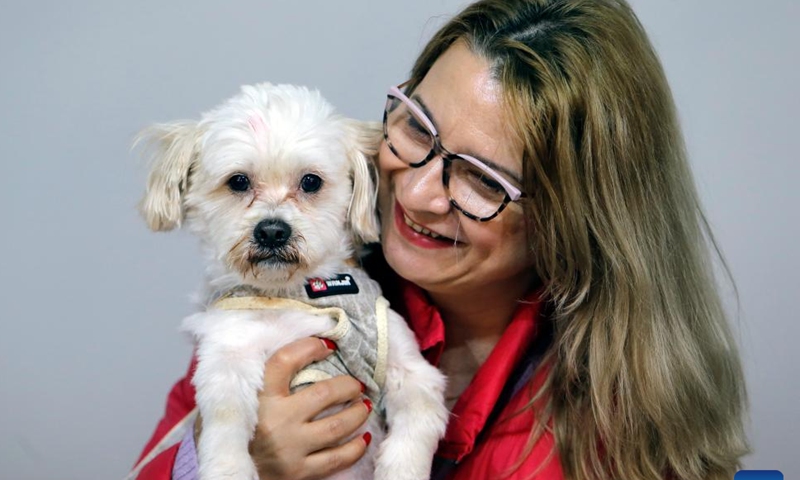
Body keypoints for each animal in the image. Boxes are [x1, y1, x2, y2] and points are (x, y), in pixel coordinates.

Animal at [138, 83, 450, 480]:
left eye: (311, 181)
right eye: (238, 181)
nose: (272, 230)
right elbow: (225, 419)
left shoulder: (403, 364)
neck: (297, 294)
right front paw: (229, 468)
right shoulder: (228, 352)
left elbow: (417, 423)